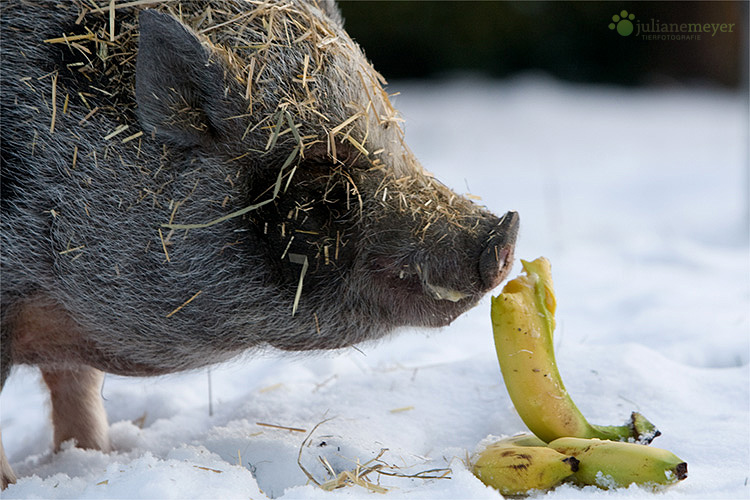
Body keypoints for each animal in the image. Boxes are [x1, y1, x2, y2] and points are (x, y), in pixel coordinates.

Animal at [0, 0, 516, 486]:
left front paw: (91, 457)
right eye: (322, 191)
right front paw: (19, 482)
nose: (504, 232)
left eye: (398, 136)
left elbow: (80, 388)